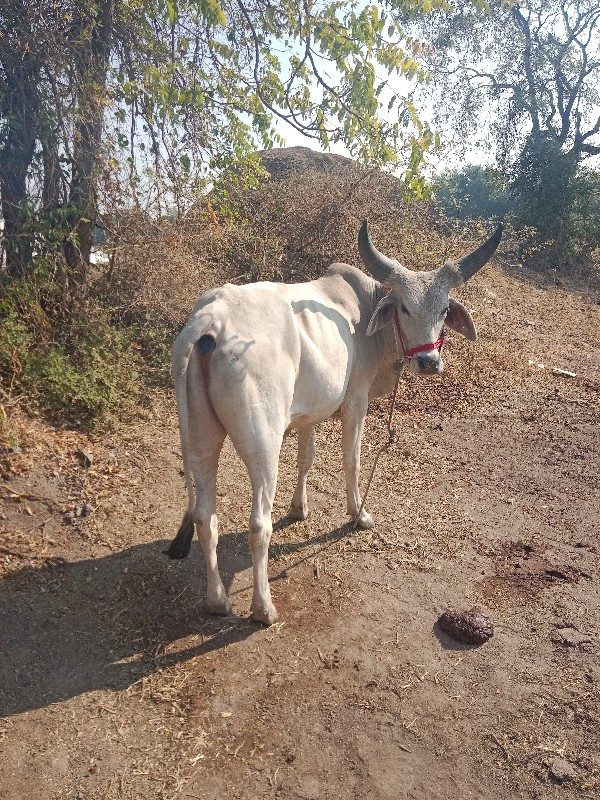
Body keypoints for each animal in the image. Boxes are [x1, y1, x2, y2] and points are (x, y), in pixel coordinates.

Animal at [168, 219, 502, 624]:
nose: (428, 362)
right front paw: (358, 513)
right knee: (258, 525)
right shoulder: (356, 402)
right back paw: (263, 608)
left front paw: (299, 508)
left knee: (205, 517)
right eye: (404, 308)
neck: (367, 311)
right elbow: (351, 459)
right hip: (263, 443)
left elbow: (306, 459)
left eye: (442, 310)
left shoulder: (308, 413)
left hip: (201, 438)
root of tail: (210, 320)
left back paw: (217, 600)